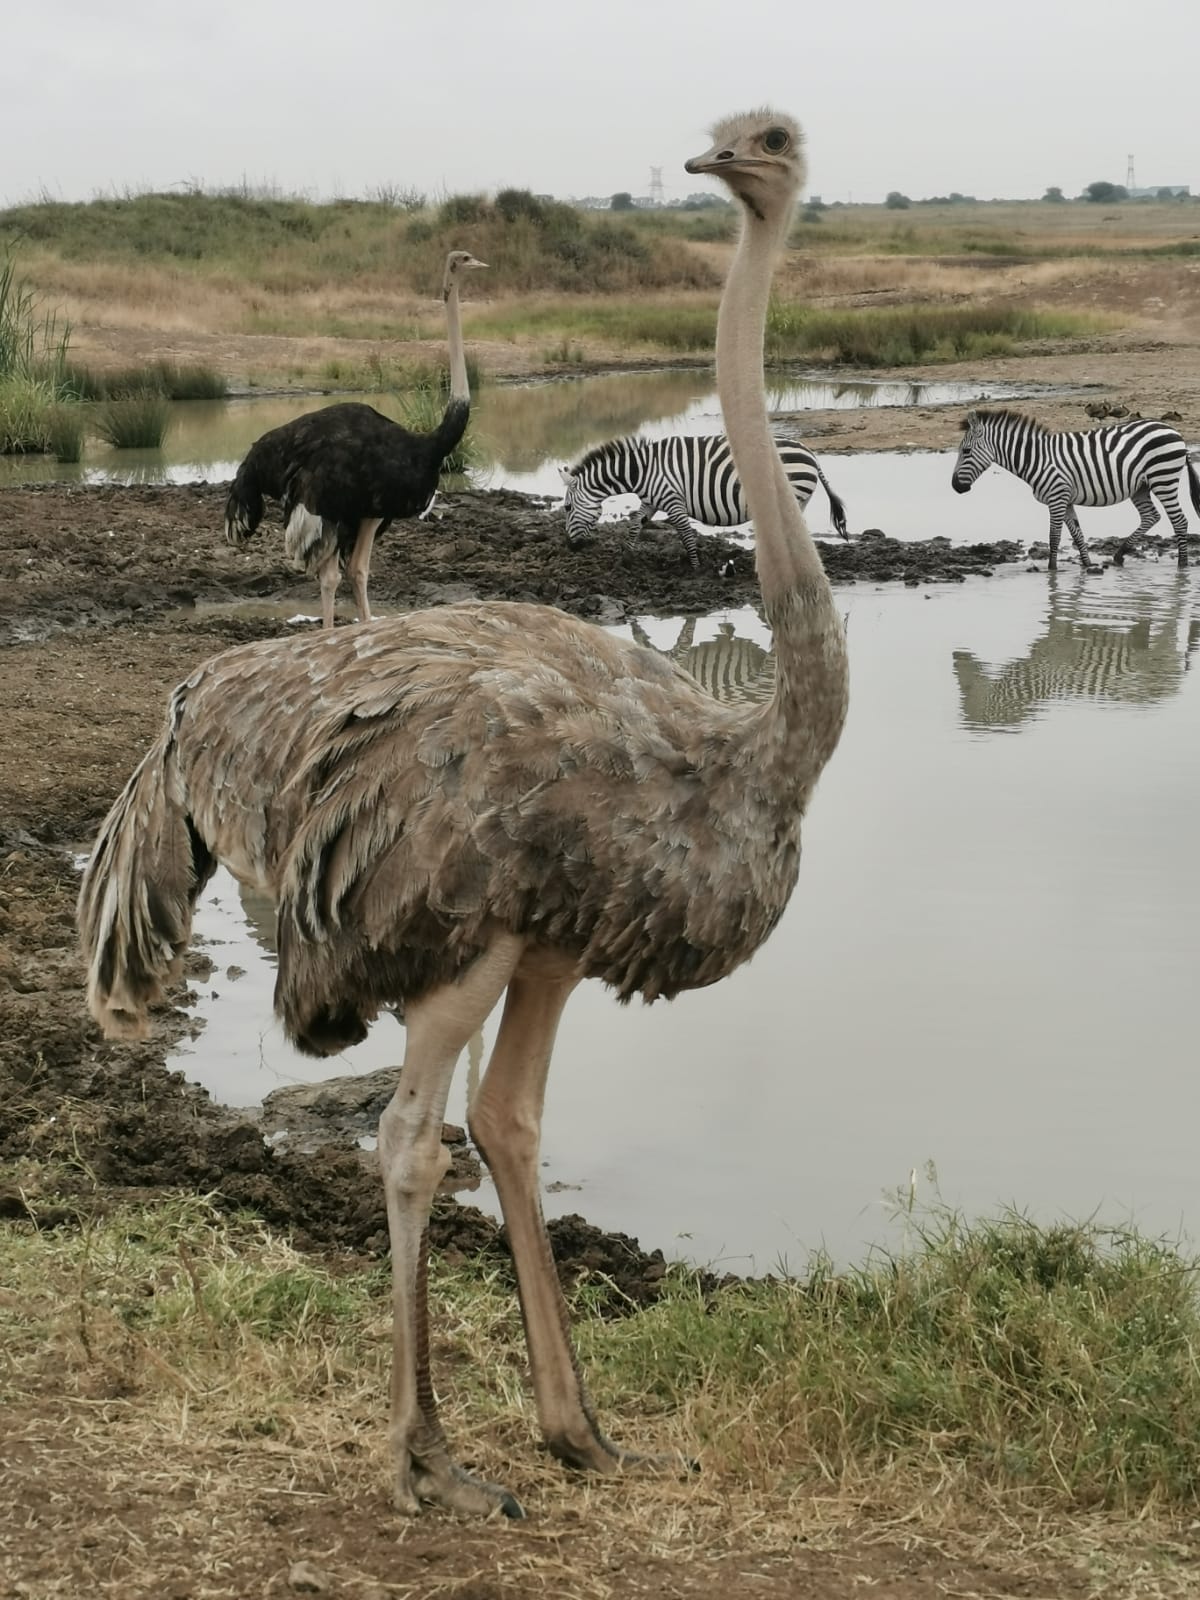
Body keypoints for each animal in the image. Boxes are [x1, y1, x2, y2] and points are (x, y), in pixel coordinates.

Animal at [559, 433, 848, 568]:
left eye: (567, 507)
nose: (570, 547)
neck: (642, 470)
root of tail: (810, 452)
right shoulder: (651, 500)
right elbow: (634, 525)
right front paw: (625, 559)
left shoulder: (672, 499)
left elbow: (686, 534)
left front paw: (695, 567)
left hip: (794, 495)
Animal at [951, 408, 1200, 571]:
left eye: (966, 452)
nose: (955, 486)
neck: (1037, 459)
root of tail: (1174, 431)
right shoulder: (1065, 498)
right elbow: (1077, 534)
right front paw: (1088, 565)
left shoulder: (1056, 497)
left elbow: (1054, 536)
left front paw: (1052, 570)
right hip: (1141, 486)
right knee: (1151, 516)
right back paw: (1119, 555)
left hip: (1163, 478)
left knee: (1179, 521)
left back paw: (1183, 566)